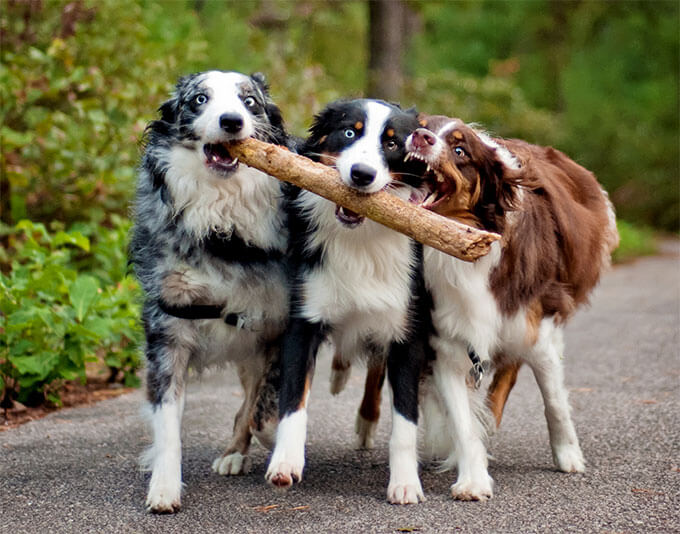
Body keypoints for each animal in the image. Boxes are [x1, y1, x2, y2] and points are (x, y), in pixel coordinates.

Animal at [130, 71, 292, 516]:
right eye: (199, 99)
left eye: (249, 102)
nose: (231, 121)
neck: (223, 227)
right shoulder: (167, 333)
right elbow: (167, 420)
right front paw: (164, 486)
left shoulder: (283, 325)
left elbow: (265, 410)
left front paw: (278, 443)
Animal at [264, 100, 430, 506]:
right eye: (350, 132)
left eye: (392, 144)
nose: (361, 174)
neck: (360, 238)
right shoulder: (304, 319)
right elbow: (294, 399)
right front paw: (285, 461)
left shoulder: (407, 329)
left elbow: (405, 418)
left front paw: (406, 483)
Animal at [406, 114, 620, 502]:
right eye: (423, 123)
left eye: (460, 150)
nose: (420, 136)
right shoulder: (447, 338)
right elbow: (462, 420)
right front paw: (473, 479)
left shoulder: (535, 324)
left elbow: (554, 400)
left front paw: (569, 456)